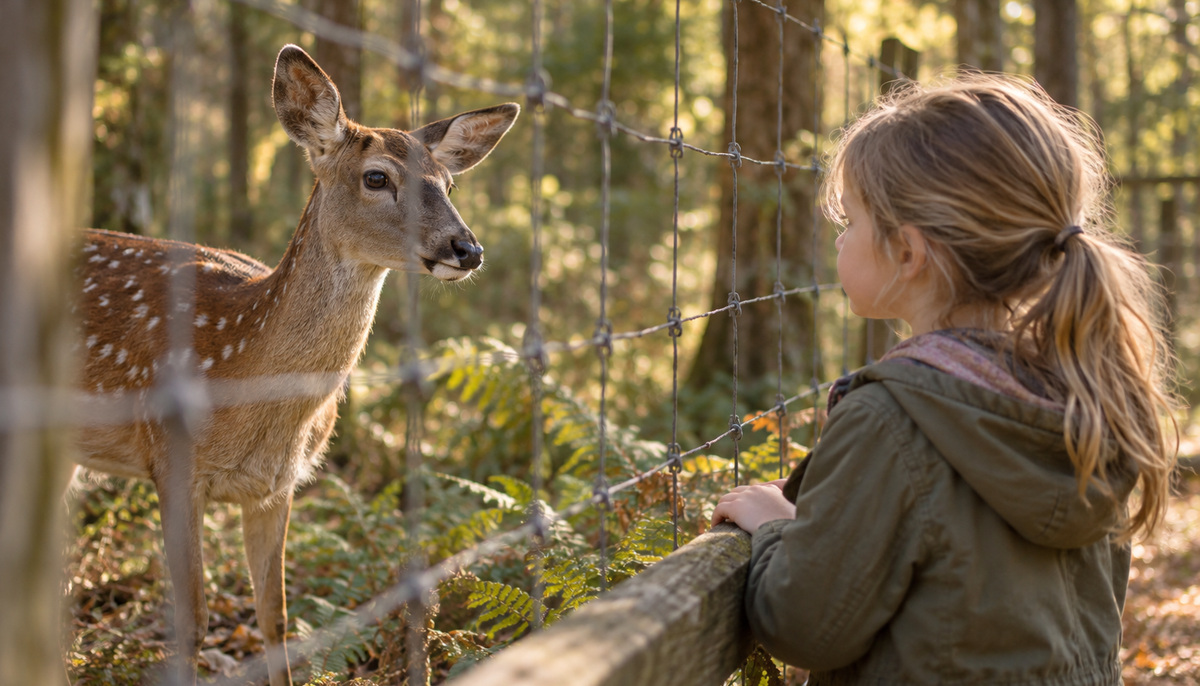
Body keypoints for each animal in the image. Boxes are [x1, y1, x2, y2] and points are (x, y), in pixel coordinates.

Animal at [72, 44, 518, 686]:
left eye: (449, 182)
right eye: (377, 176)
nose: (468, 249)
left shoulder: (276, 486)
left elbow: (275, 618)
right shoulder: (170, 461)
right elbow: (192, 623)